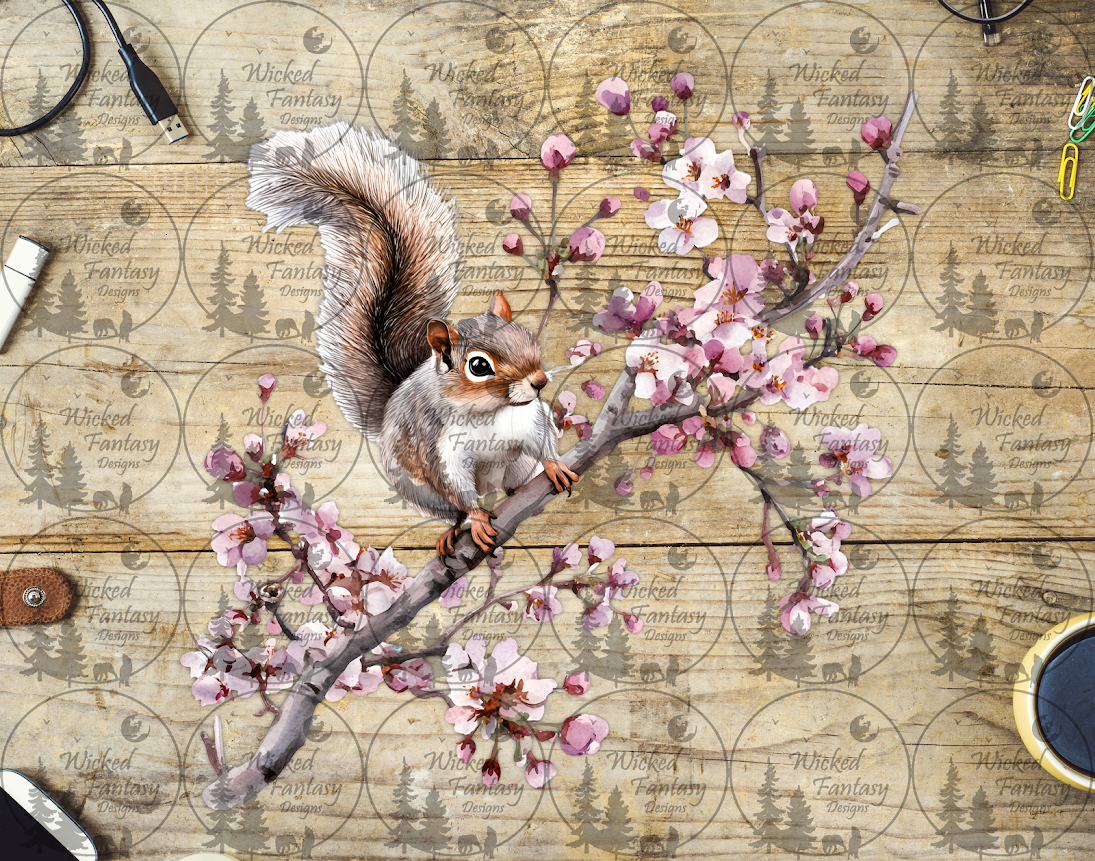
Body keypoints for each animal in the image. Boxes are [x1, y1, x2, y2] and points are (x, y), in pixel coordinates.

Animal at [245, 122, 578, 558]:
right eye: (478, 366)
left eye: (527, 337)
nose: (539, 382)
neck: (491, 412)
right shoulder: (440, 451)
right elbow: (460, 491)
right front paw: (476, 519)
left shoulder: (531, 421)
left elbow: (543, 446)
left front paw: (556, 466)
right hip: (419, 489)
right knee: (454, 506)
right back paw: (453, 531)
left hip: (513, 469)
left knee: (510, 484)